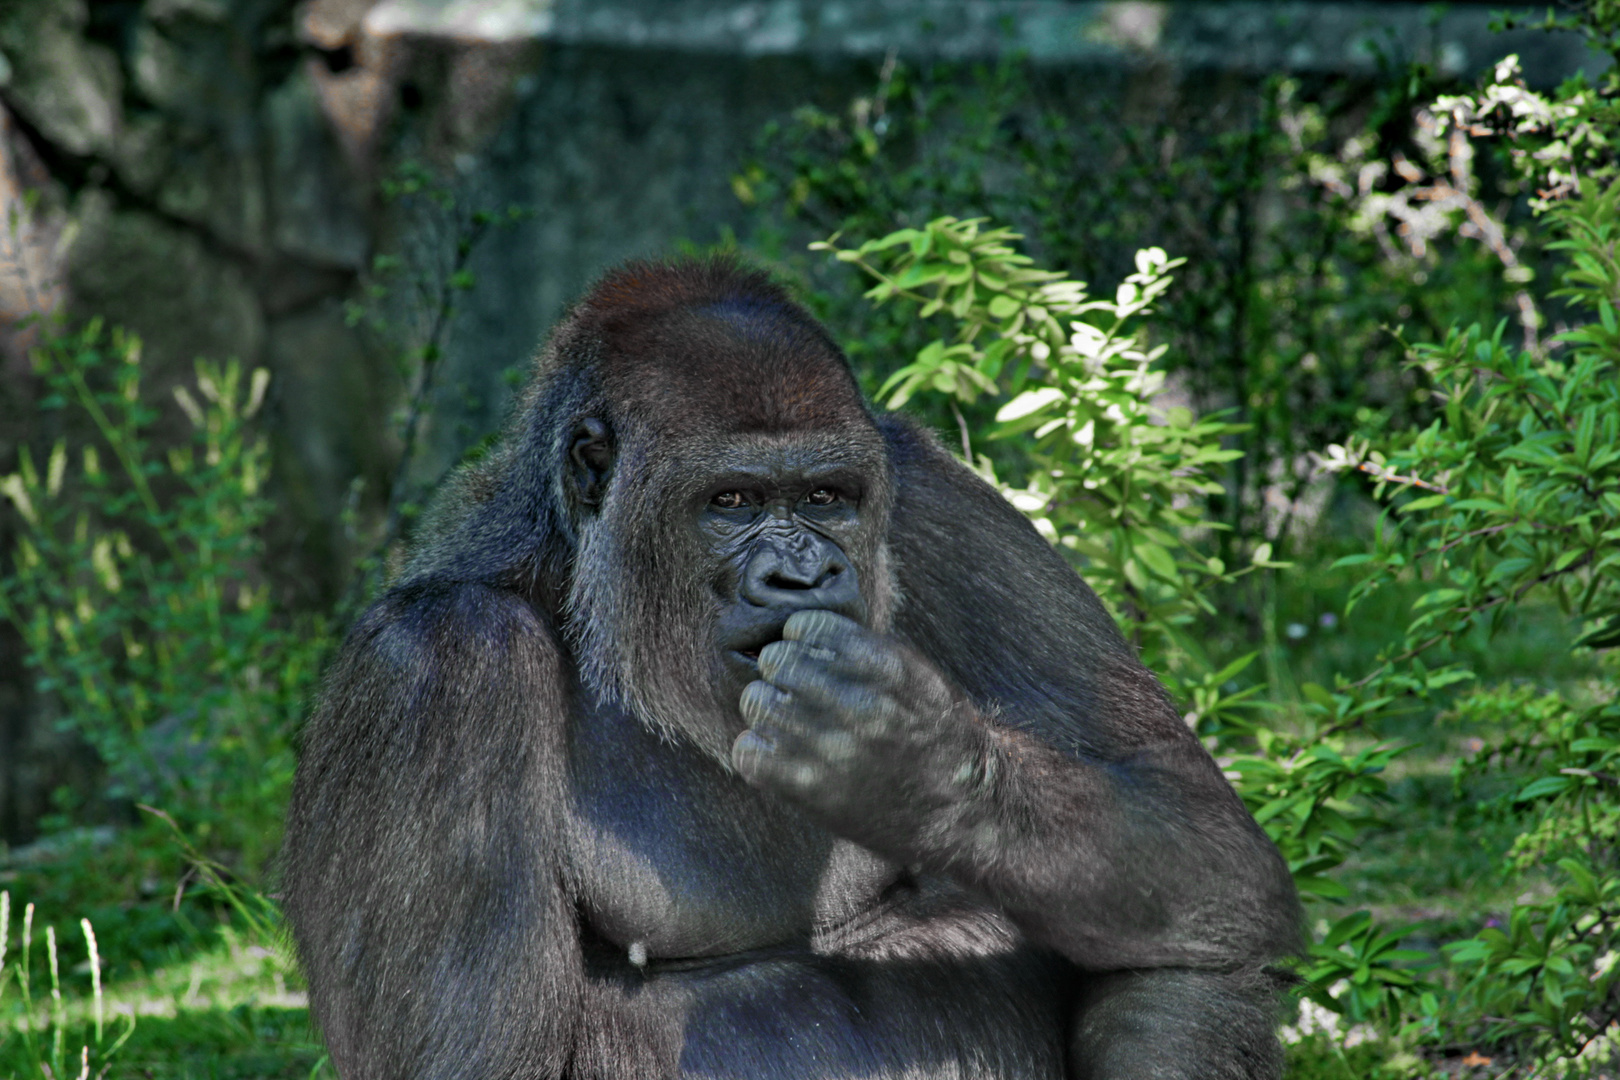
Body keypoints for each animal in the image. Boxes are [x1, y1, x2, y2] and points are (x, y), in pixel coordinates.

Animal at [281, 255, 1302, 1080]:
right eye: (730, 501)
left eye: (825, 497)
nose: (804, 575)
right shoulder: (439, 669)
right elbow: (478, 1059)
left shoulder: (931, 495)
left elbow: (1192, 821)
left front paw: (913, 765)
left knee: (1186, 947)